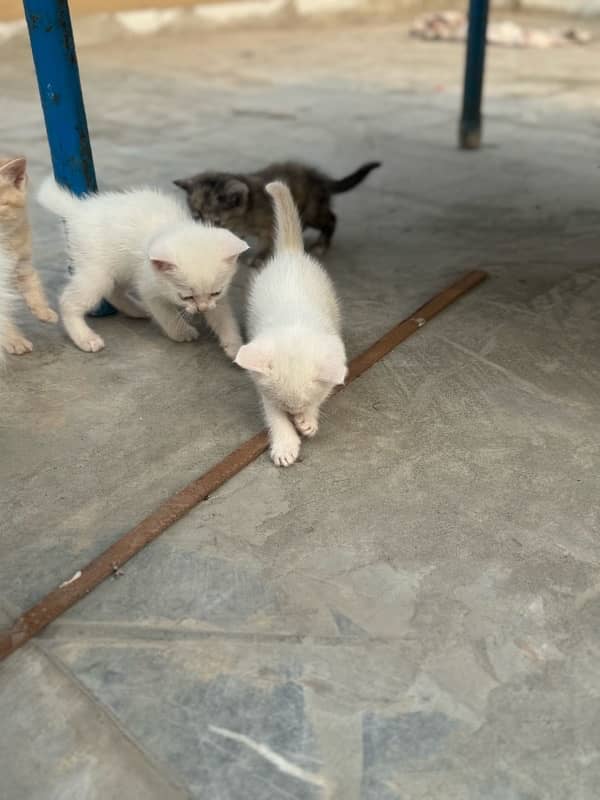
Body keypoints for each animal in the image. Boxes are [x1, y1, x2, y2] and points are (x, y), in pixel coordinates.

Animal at [37, 180, 248, 358]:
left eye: (216, 292)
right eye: (185, 297)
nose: (201, 308)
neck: (171, 227)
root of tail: (78, 209)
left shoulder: (217, 299)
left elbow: (224, 317)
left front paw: (234, 345)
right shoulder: (149, 287)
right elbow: (167, 315)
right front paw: (181, 332)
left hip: (121, 269)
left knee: (114, 292)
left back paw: (137, 310)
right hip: (97, 271)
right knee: (68, 301)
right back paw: (85, 338)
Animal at [173, 160, 380, 266]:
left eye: (216, 221)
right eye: (197, 216)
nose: (203, 234)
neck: (248, 209)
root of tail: (321, 179)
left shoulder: (269, 226)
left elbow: (265, 242)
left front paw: (259, 257)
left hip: (312, 211)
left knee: (331, 219)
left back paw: (321, 245)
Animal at [234, 180, 346, 468]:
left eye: (303, 402)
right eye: (284, 405)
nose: (295, 413)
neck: (295, 326)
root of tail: (290, 253)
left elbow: (325, 389)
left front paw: (308, 419)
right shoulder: (262, 383)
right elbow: (272, 413)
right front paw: (285, 441)